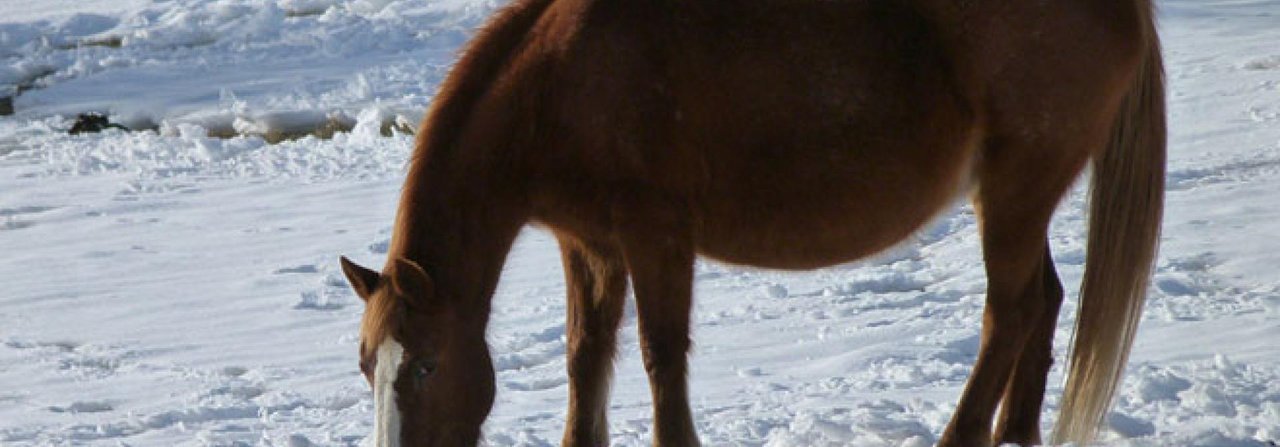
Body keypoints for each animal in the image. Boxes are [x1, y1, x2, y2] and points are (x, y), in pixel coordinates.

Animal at [335, 0, 1167, 443]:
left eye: (426, 364)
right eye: (367, 364)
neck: (563, 82)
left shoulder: (656, 237)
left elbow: (660, 357)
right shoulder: (591, 246)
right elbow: (586, 360)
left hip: (1016, 194)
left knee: (1011, 311)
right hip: (1018, 200)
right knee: (1043, 303)